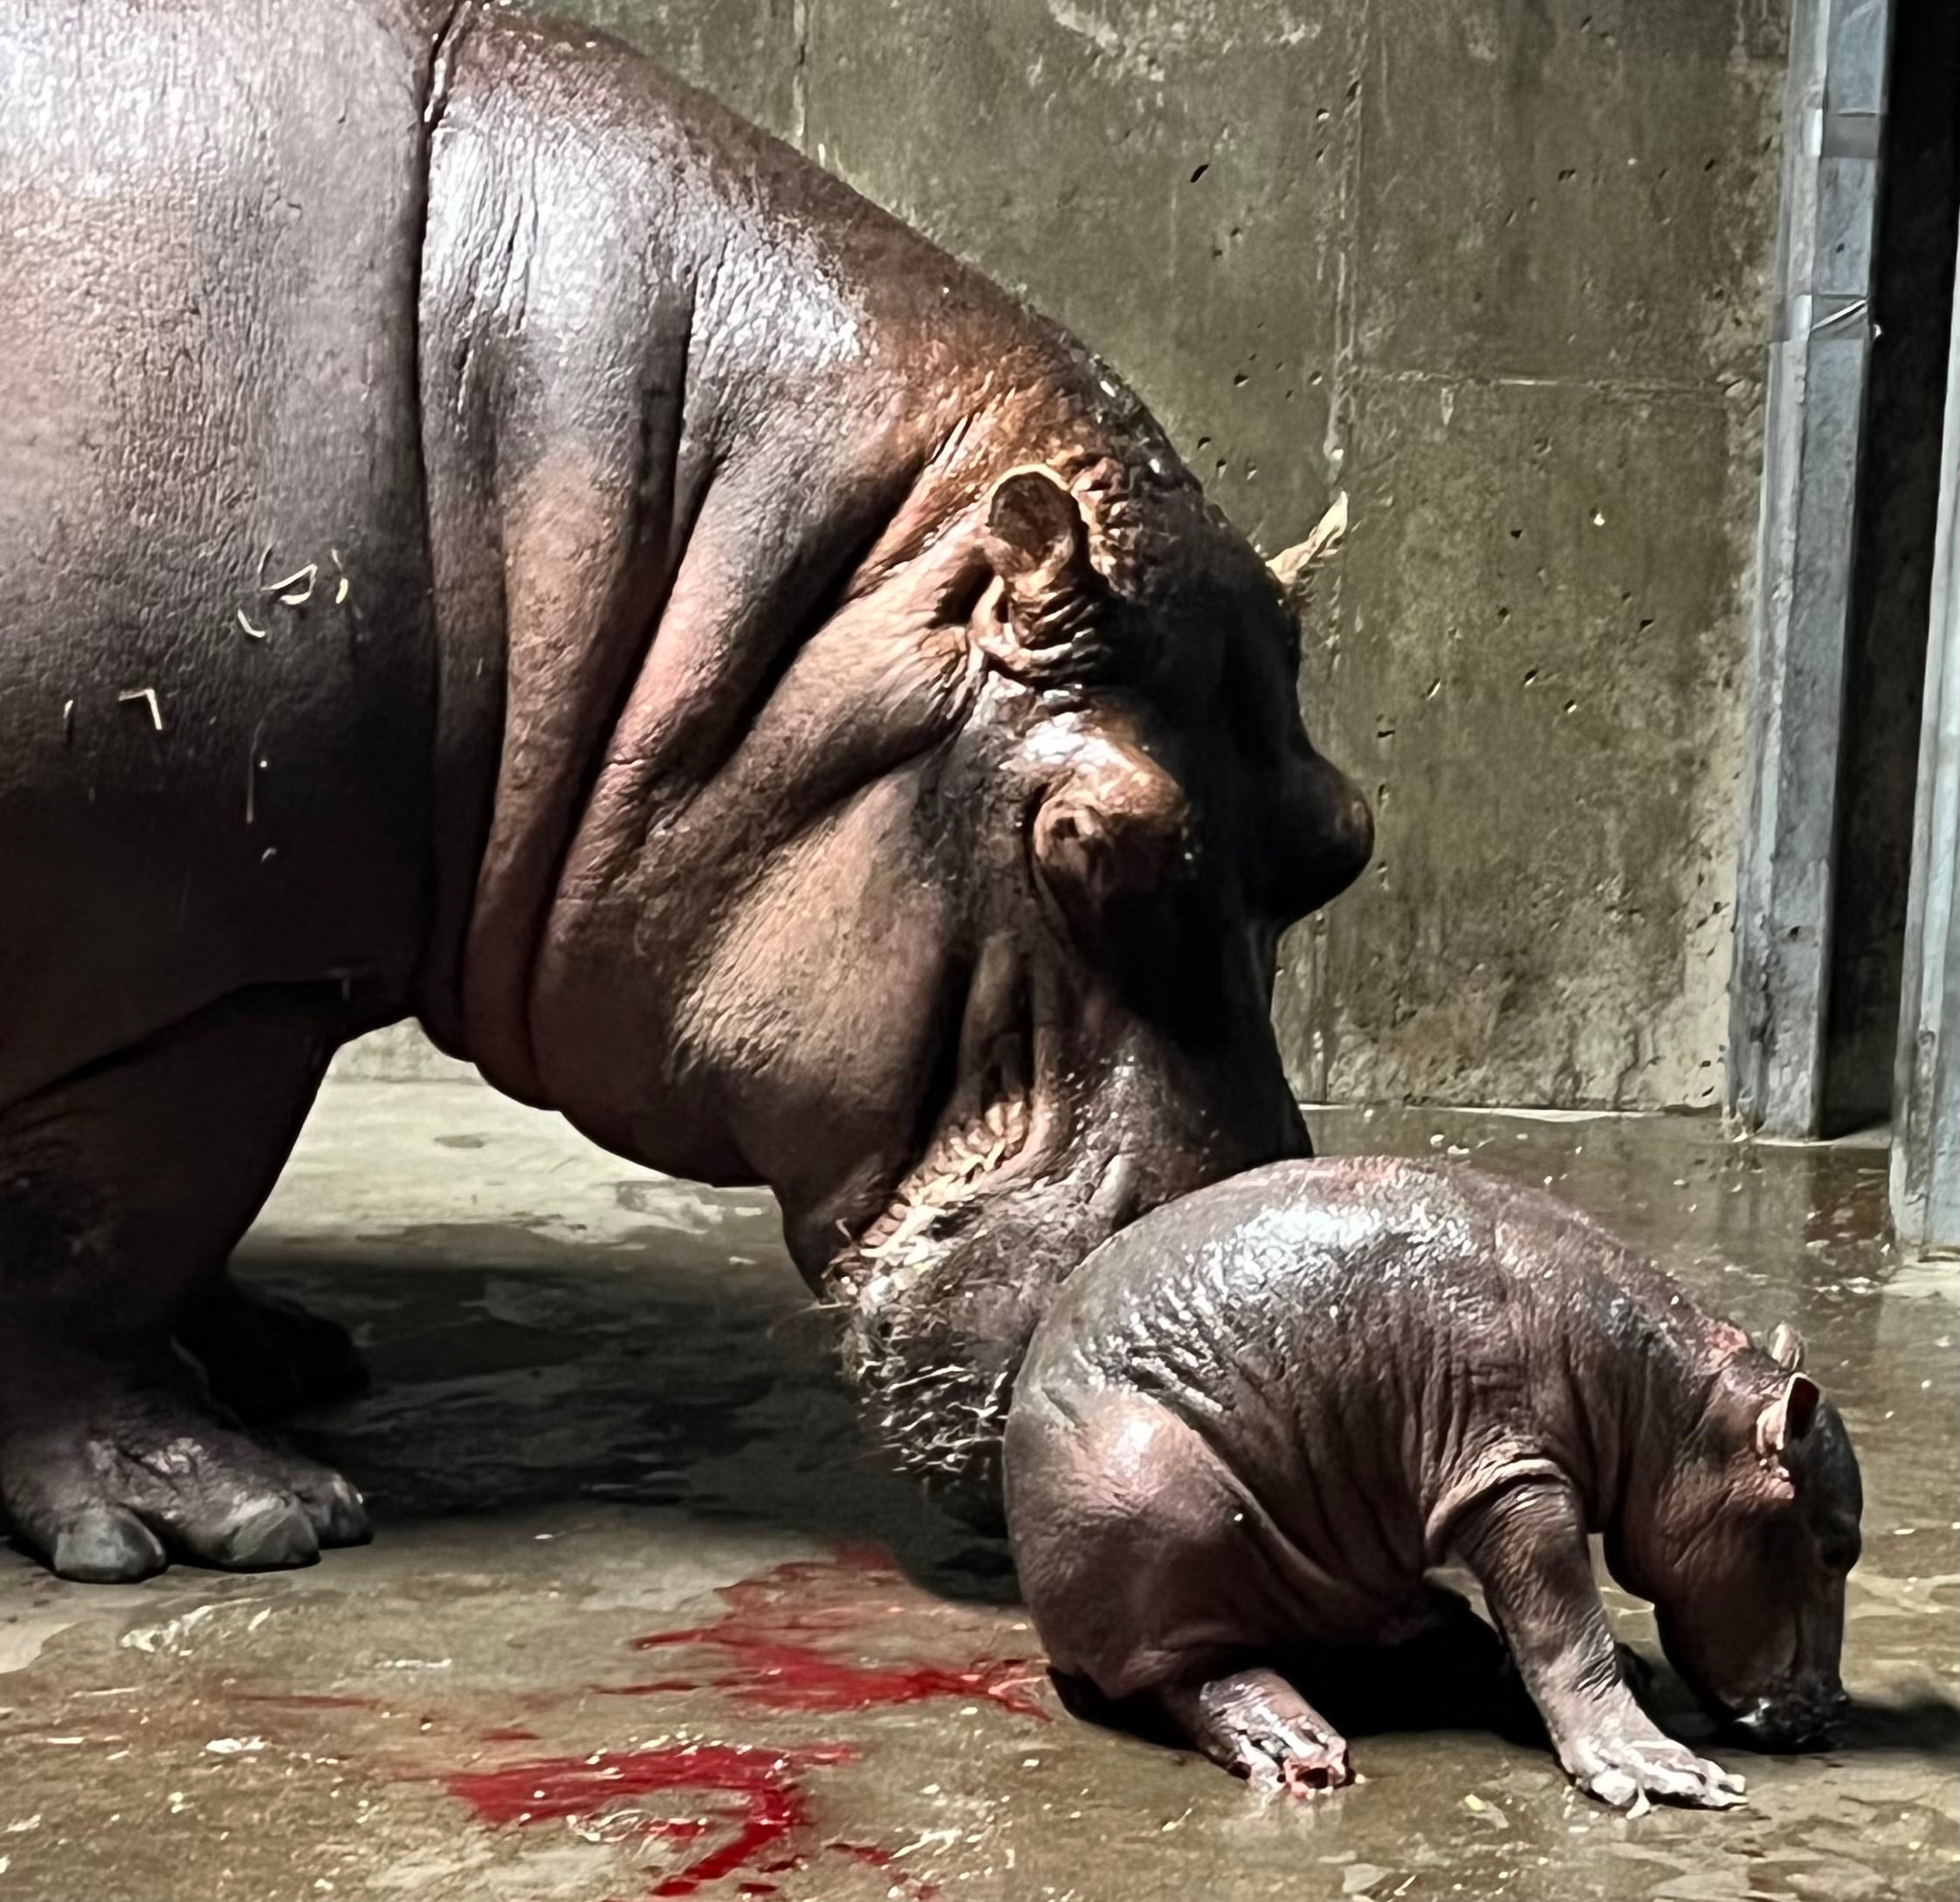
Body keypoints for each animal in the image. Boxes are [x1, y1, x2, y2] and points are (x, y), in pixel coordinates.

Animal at [0, 0, 1364, 1576]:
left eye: (1347, 835)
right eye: (1092, 839)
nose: (1282, 1375)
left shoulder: (261, 965)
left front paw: (276, 1351)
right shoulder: (204, 977)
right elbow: (99, 1238)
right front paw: (232, 1514)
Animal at [1011, 1153, 1866, 1811]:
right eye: (1835, 1549)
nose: (1834, 1709)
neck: (1676, 1405)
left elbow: (1543, 1628)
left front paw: (1626, 1679)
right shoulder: (1511, 1480)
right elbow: (1563, 1625)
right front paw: (1659, 1770)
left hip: (1345, 1574)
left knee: (1420, 1626)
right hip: (1154, 1502)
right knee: (1192, 1672)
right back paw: (1297, 1745)